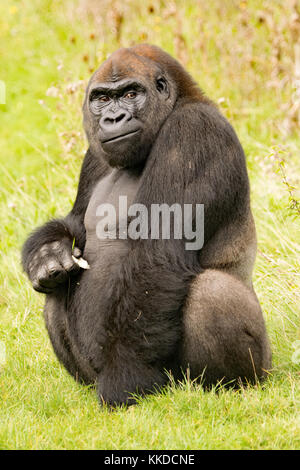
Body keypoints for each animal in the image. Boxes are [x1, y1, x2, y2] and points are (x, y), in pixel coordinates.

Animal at [22, 45, 270, 408]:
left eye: (130, 94)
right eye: (102, 98)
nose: (113, 119)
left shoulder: (193, 132)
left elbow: (157, 258)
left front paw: (125, 378)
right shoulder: (95, 154)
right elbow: (75, 223)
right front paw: (48, 251)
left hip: (239, 369)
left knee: (210, 292)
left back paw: (227, 386)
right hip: (90, 375)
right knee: (56, 293)